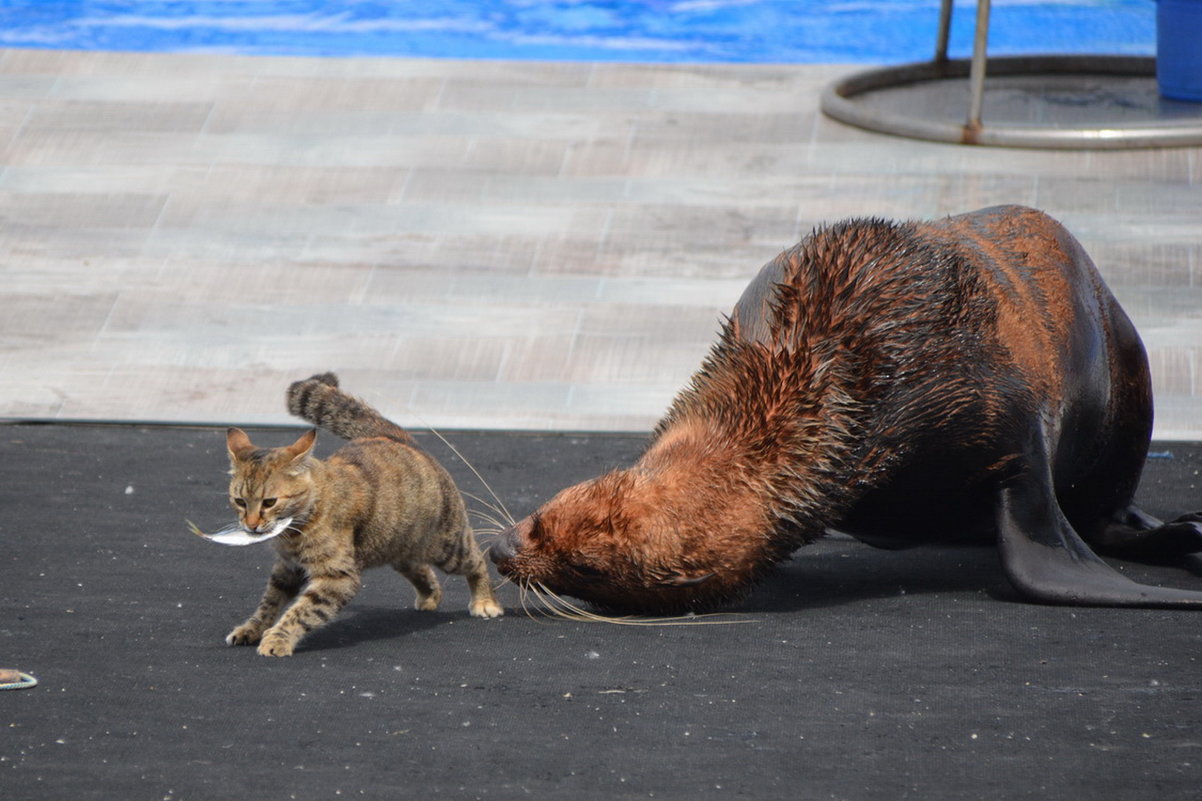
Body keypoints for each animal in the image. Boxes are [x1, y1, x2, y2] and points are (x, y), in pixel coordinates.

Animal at [222, 370, 502, 654]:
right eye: (240, 501)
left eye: (269, 502)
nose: (251, 525)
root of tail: (394, 437)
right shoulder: (287, 568)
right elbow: (269, 602)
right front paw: (252, 629)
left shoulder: (337, 576)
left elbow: (301, 612)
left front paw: (278, 639)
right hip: (397, 544)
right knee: (418, 567)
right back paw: (430, 595)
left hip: (447, 546)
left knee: (477, 560)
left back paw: (485, 601)